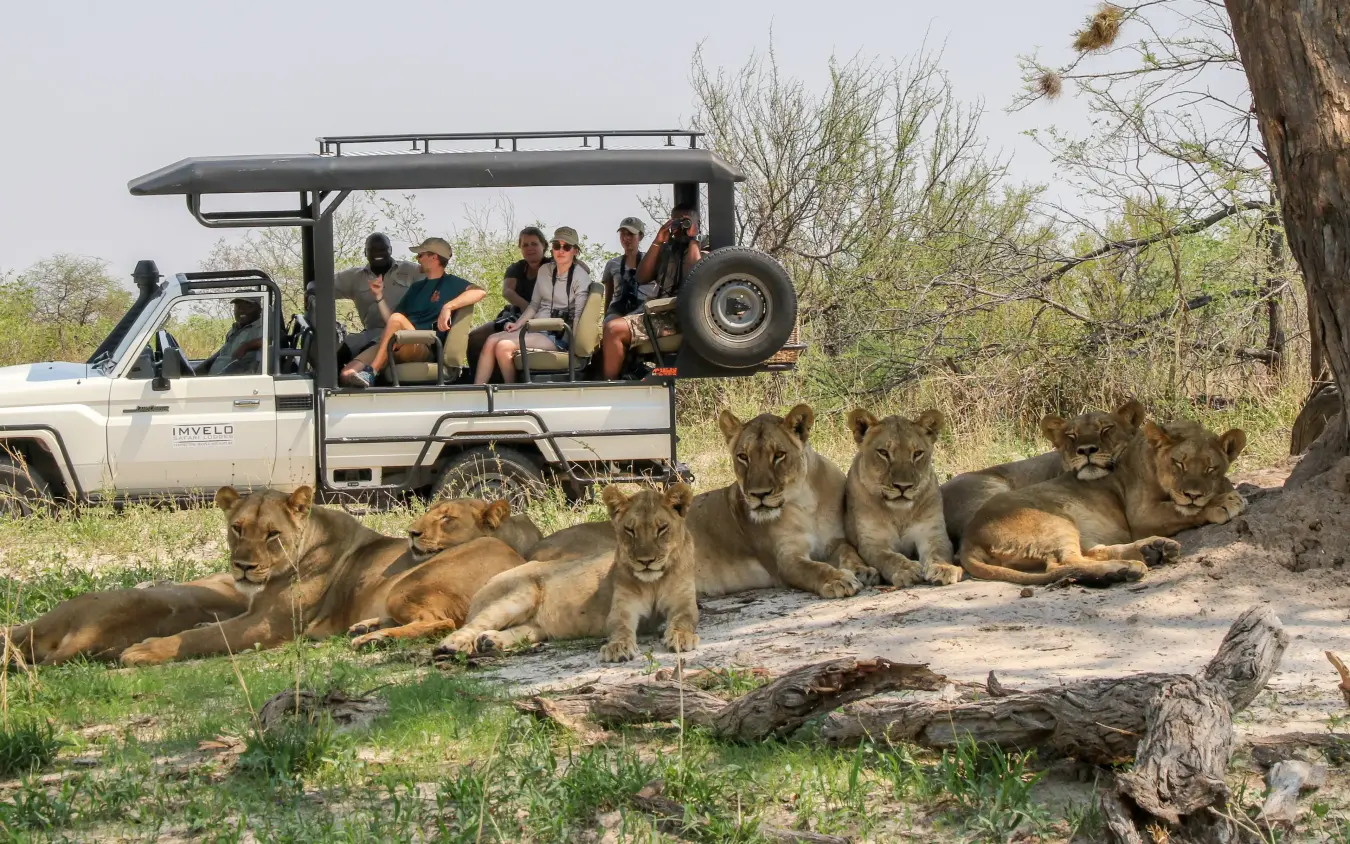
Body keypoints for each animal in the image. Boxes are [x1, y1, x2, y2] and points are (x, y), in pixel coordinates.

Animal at [119, 487, 527, 665]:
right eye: (237, 528)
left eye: (272, 534)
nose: (243, 566)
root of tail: (516, 555)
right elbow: (210, 624)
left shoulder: (266, 626)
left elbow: (201, 637)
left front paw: (144, 649)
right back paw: (364, 627)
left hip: (408, 584)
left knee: (441, 621)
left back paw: (372, 639)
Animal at [432, 484, 697, 662]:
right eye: (629, 530)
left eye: (662, 529)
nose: (646, 561)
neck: (653, 581)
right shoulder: (623, 608)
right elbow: (621, 627)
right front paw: (618, 648)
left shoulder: (683, 602)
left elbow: (684, 619)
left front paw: (682, 638)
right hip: (522, 592)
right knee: (473, 624)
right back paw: (451, 644)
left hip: (536, 625)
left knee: (522, 630)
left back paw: (489, 642)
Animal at [685, 404, 873, 601]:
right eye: (743, 456)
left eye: (779, 455)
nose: (759, 494)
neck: (806, 504)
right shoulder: (785, 560)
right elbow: (814, 569)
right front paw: (838, 579)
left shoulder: (834, 541)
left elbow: (849, 551)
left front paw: (863, 570)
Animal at [844, 407, 963, 587]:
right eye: (883, 453)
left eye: (917, 454)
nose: (903, 486)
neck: (899, 514)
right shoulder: (873, 542)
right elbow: (890, 558)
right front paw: (908, 570)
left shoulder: (933, 533)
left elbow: (939, 551)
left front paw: (944, 569)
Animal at [959, 418, 1246, 586]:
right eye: (1179, 463)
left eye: (1211, 468)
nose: (1193, 494)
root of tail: (968, 538)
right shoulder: (1141, 514)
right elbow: (1182, 510)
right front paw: (1222, 502)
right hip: (1056, 521)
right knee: (1065, 562)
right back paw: (1125, 568)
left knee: (1088, 552)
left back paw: (1152, 550)